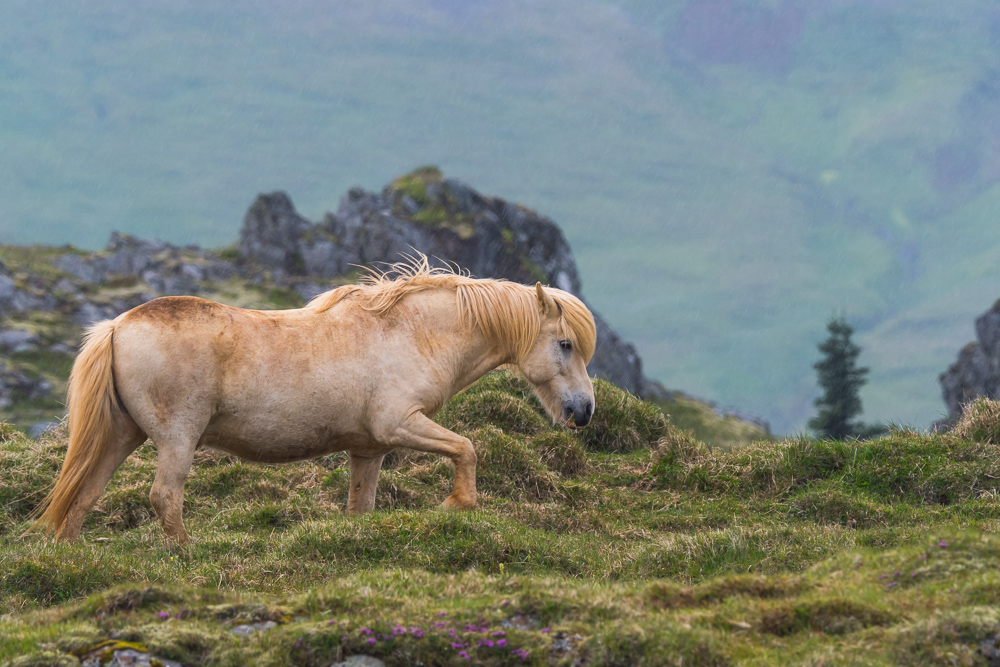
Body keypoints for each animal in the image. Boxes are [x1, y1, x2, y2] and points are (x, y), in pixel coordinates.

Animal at [35, 258, 596, 544]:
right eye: (566, 344)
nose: (584, 411)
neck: (413, 332)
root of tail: (117, 325)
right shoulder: (399, 423)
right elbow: (467, 448)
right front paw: (458, 503)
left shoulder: (369, 449)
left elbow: (360, 508)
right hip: (177, 439)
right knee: (164, 497)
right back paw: (185, 554)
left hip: (121, 434)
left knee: (84, 493)